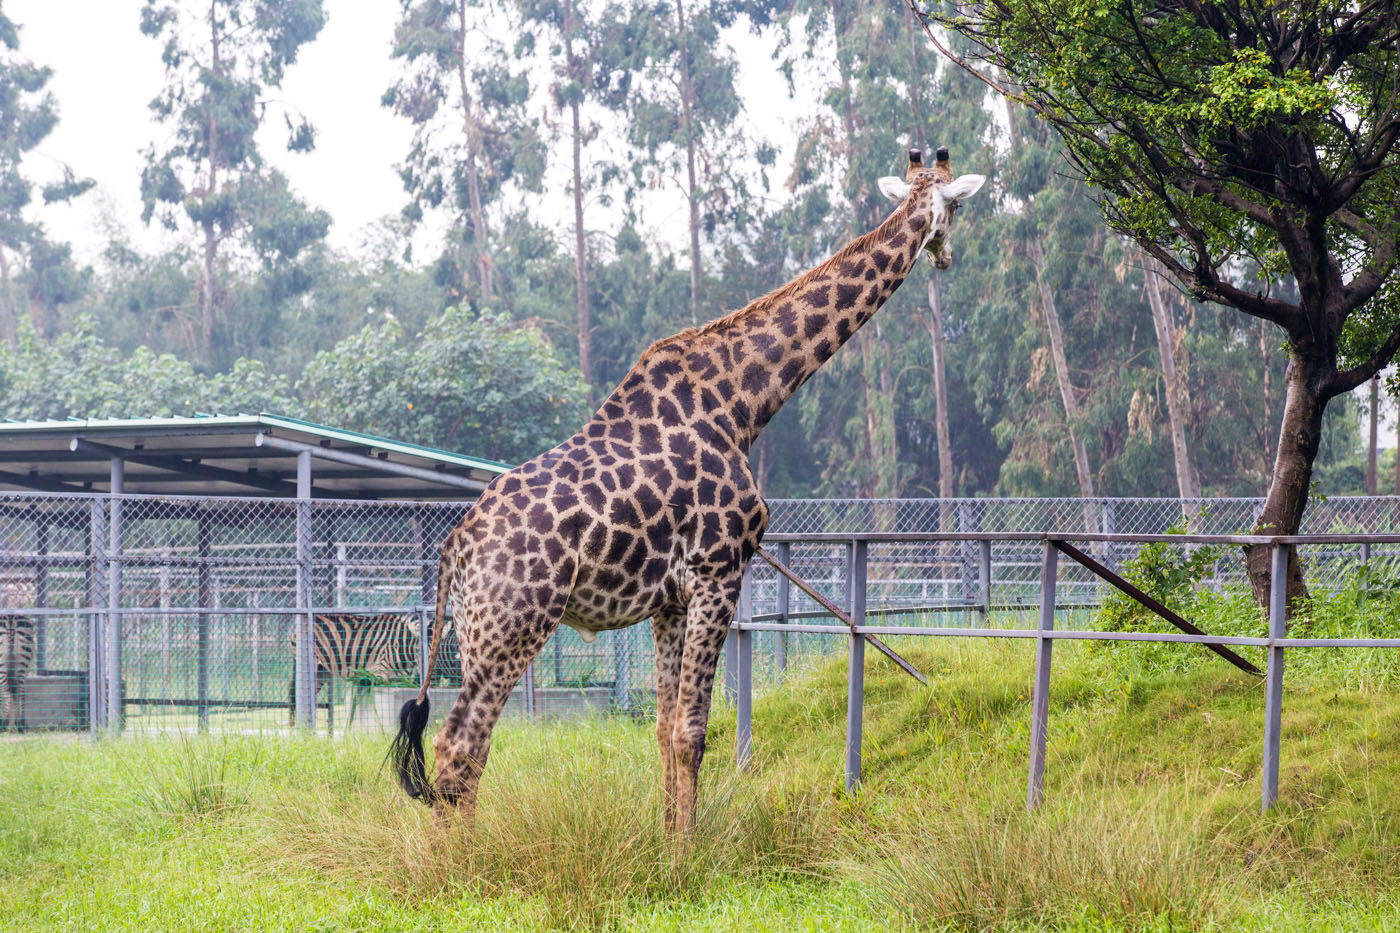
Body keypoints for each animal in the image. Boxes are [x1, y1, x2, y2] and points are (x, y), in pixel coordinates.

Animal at [389, 143, 991, 829]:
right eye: (956, 207)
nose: (946, 257)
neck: (744, 402)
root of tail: (454, 547)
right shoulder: (718, 571)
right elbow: (693, 732)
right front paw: (689, 847)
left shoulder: (670, 600)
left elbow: (661, 727)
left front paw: (666, 836)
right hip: (514, 623)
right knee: (460, 743)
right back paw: (466, 853)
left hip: (475, 630)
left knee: (460, 746)